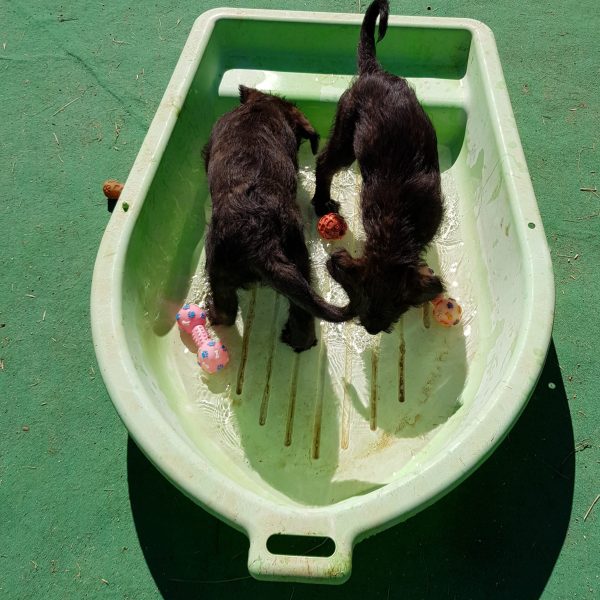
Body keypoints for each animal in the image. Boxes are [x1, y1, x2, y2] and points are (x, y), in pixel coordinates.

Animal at [203, 84, 350, 352]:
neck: (262, 108)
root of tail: (261, 242)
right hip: (299, 262)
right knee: (303, 314)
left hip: (216, 268)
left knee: (227, 313)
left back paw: (212, 312)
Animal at [314, 0, 446, 336]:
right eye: (361, 292)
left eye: (399, 305)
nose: (373, 329)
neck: (395, 229)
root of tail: (374, 71)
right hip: (346, 136)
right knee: (324, 164)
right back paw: (321, 202)